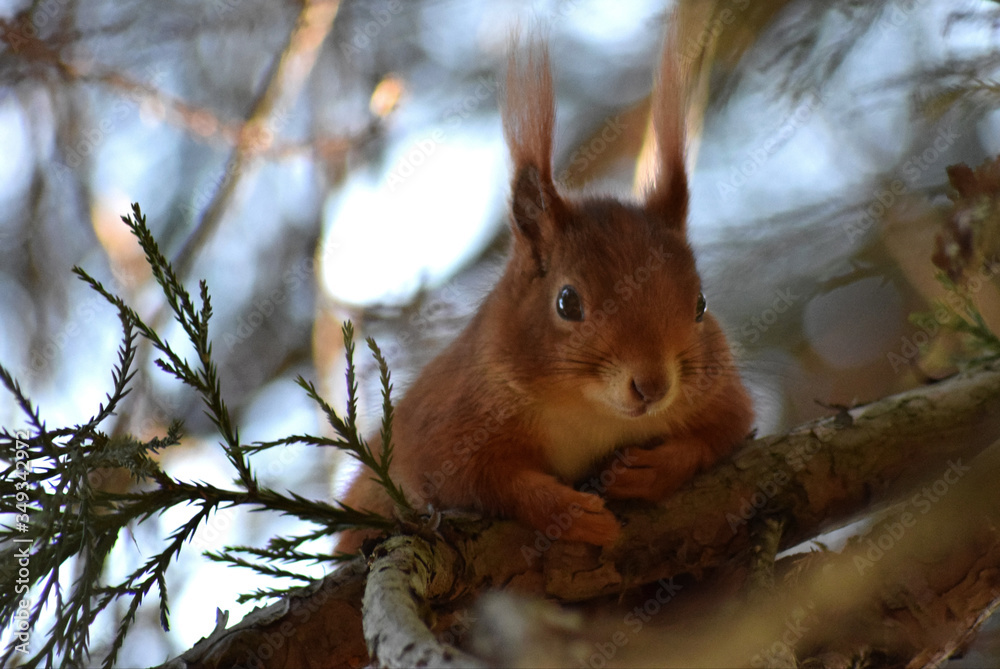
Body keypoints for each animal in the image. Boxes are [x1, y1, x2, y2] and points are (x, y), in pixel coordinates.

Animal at [336, 19, 754, 553]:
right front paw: (567, 511)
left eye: (700, 304)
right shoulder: (444, 428)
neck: (589, 411)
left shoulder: (722, 395)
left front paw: (653, 469)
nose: (653, 387)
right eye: (567, 302)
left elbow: (722, 434)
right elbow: (482, 481)